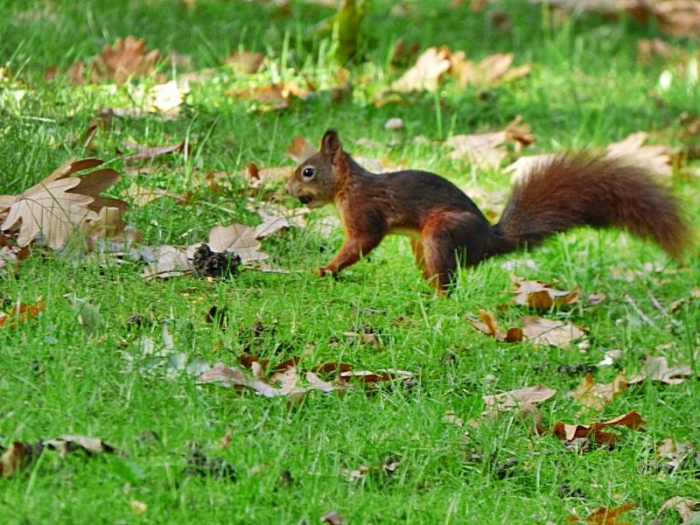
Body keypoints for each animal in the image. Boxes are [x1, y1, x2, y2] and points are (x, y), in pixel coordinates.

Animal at [286, 129, 691, 292]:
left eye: (308, 171)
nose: (287, 189)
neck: (347, 186)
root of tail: (488, 241)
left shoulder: (364, 213)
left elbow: (362, 242)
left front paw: (325, 269)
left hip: (441, 233)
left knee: (448, 282)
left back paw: (436, 296)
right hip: (422, 244)